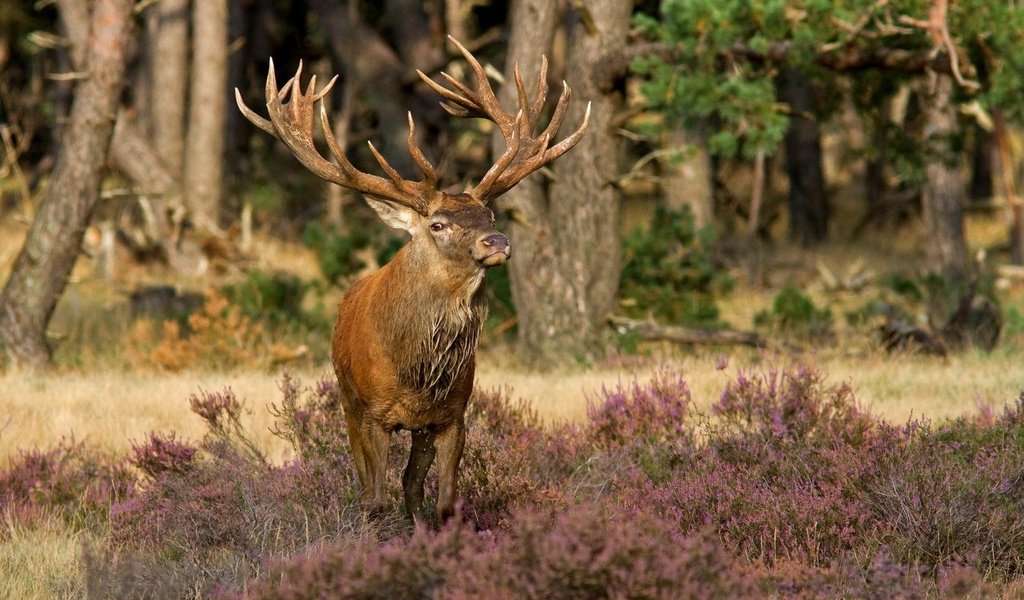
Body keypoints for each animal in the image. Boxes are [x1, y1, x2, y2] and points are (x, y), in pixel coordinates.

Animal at [235, 37, 589, 524]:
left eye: (490, 215)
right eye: (438, 224)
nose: (497, 241)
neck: (417, 374)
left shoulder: (452, 414)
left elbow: (442, 501)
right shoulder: (371, 413)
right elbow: (374, 499)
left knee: (411, 487)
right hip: (347, 399)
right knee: (369, 486)